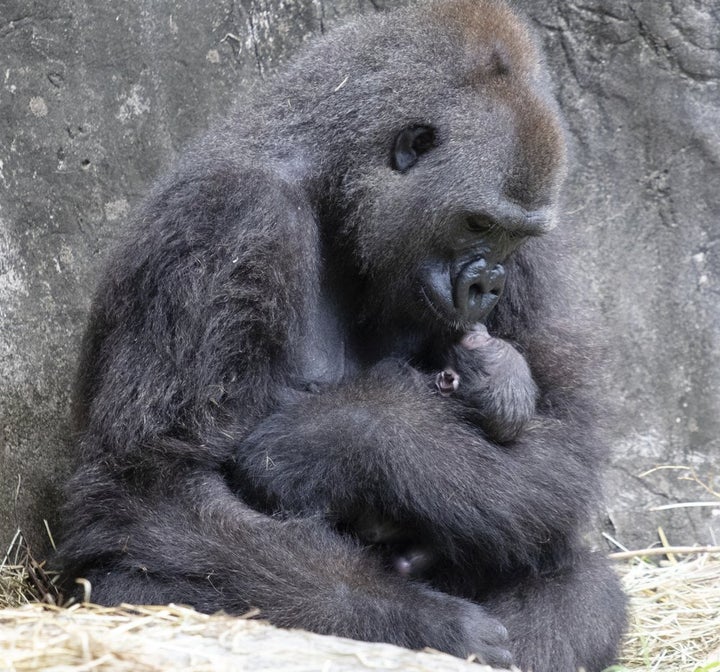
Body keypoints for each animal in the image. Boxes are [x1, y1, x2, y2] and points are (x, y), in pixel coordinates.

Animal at [59, 2, 628, 668]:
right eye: (477, 223)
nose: (488, 284)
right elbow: (151, 487)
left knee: (583, 584)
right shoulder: (228, 218)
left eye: (514, 236)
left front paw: (344, 436)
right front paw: (418, 619)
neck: (335, 184)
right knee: (134, 581)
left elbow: (565, 437)